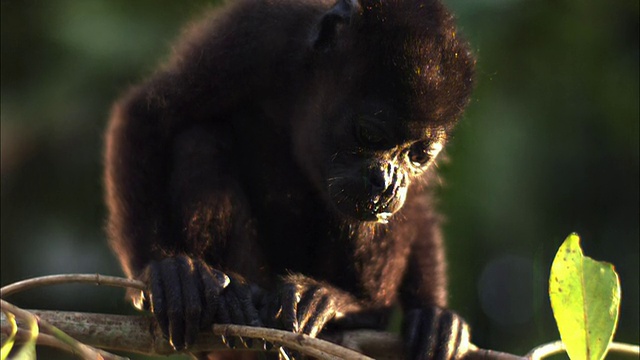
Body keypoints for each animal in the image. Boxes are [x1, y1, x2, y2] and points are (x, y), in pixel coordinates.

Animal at [105, 0, 476, 358]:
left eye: (418, 157)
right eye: (369, 134)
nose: (387, 182)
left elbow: (420, 203)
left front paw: (432, 315)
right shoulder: (255, 37)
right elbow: (149, 114)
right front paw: (164, 269)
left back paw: (347, 305)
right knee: (199, 142)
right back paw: (231, 297)